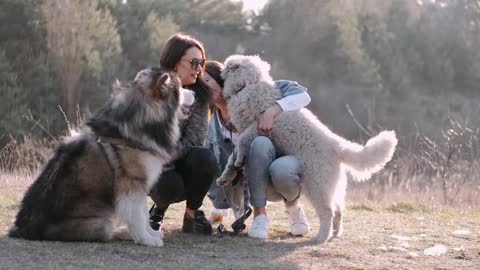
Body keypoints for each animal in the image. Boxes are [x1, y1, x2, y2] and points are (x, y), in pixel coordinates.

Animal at [218, 54, 398, 243]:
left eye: (227, 66)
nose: (220, 67)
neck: (248, 85)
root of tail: (338, 146)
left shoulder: (257, 125)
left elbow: (242, 141)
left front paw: (237, 159)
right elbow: (232, 158)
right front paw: (227, 174)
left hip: (317, 186)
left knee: (328, 212)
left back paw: (321, 237)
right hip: (332, 187)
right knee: (339, 210)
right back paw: (335, 233)